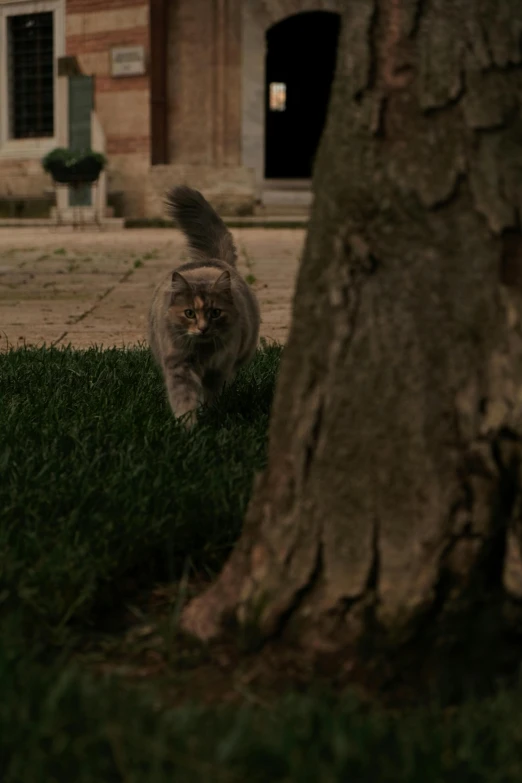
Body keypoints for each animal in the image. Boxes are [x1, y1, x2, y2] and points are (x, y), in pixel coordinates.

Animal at [147, 186, 258, 426]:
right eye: (189, 313)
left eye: (215, 313)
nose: (203, 328)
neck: (202, 352)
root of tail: (212, 259)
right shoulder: (178, 364)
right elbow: (184, 397)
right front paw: (188, 424)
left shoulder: (218, 368)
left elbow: (210, 394)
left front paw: (207, 413)